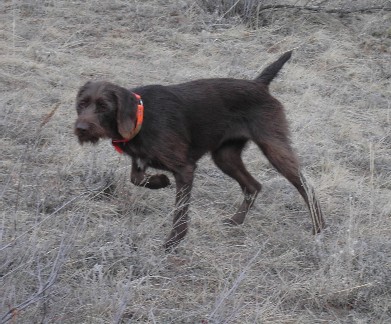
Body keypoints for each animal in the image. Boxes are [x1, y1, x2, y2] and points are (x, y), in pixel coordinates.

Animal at [75, 50, 326, 249]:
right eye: (82, 104)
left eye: (104, 107)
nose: (80, 129)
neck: (142, 117)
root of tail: (259, 84)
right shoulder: (140, 160)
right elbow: (137, 179)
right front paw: (160, 181)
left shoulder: (184, 169)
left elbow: (180, 212)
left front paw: (173, 242)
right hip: (225, 156)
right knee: (253, 186)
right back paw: (236, 221)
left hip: (274, 147)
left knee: (306, 186)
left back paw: (319, 228)